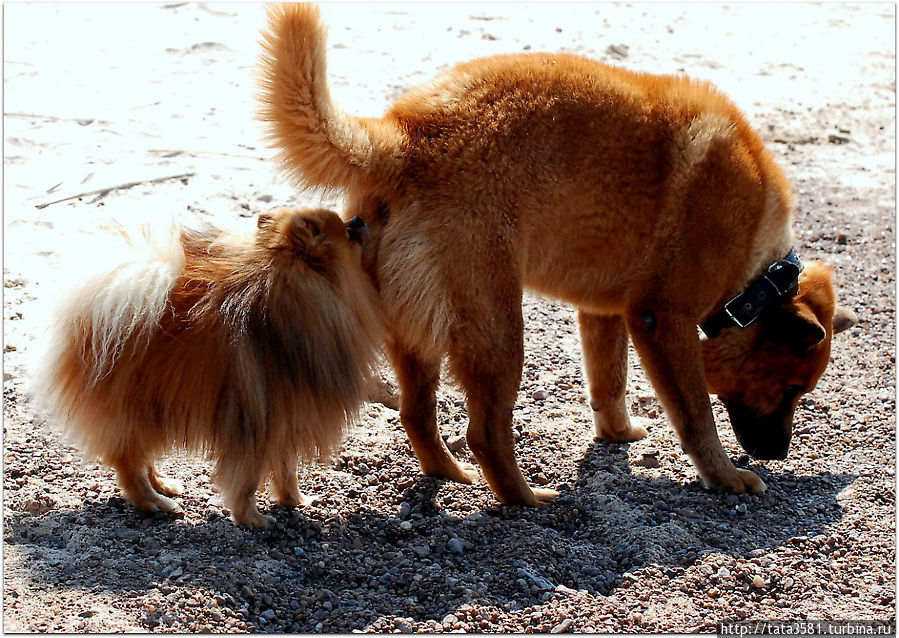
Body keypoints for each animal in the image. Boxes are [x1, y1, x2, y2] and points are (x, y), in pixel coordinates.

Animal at [36, 208, 384, 528]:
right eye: (347, 231)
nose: (359, 220)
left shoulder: (285, 419)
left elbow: (286, 469)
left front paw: (294, 500)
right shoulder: (258, 422)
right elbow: (247, 480)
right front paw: (252, 519)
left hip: (152, 409)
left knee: (140, 458)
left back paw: (163, 485)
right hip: (138, 410)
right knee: (128, 465)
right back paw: (154, 502)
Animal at [255, 2, 856, 508]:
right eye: (792, 388)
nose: (778, 453)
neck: (756, 276)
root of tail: (403, 136)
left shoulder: (606, 314)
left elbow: (609, 384)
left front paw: (618, 435)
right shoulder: (662, 320)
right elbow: (696, 419)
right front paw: (725, 477)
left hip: (417, 333)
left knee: (417, 415)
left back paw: (450, 475)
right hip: (498, 331)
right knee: (485, 432)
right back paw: (525, 499)